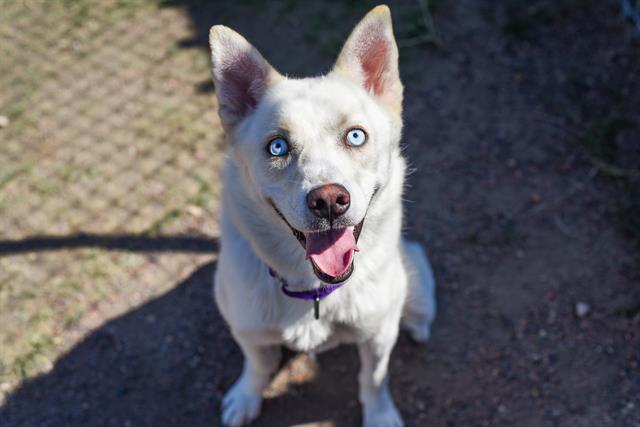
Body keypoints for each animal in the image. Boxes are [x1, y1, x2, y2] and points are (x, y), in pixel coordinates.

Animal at [210, 5, 436, 426]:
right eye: (277, 146)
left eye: (356, 136)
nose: (329, 200)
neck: (312, 288)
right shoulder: (246, 329)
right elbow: (257, 362)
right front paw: (245, 396)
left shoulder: (377, 335)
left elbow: (374, 379)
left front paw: (380, 415)